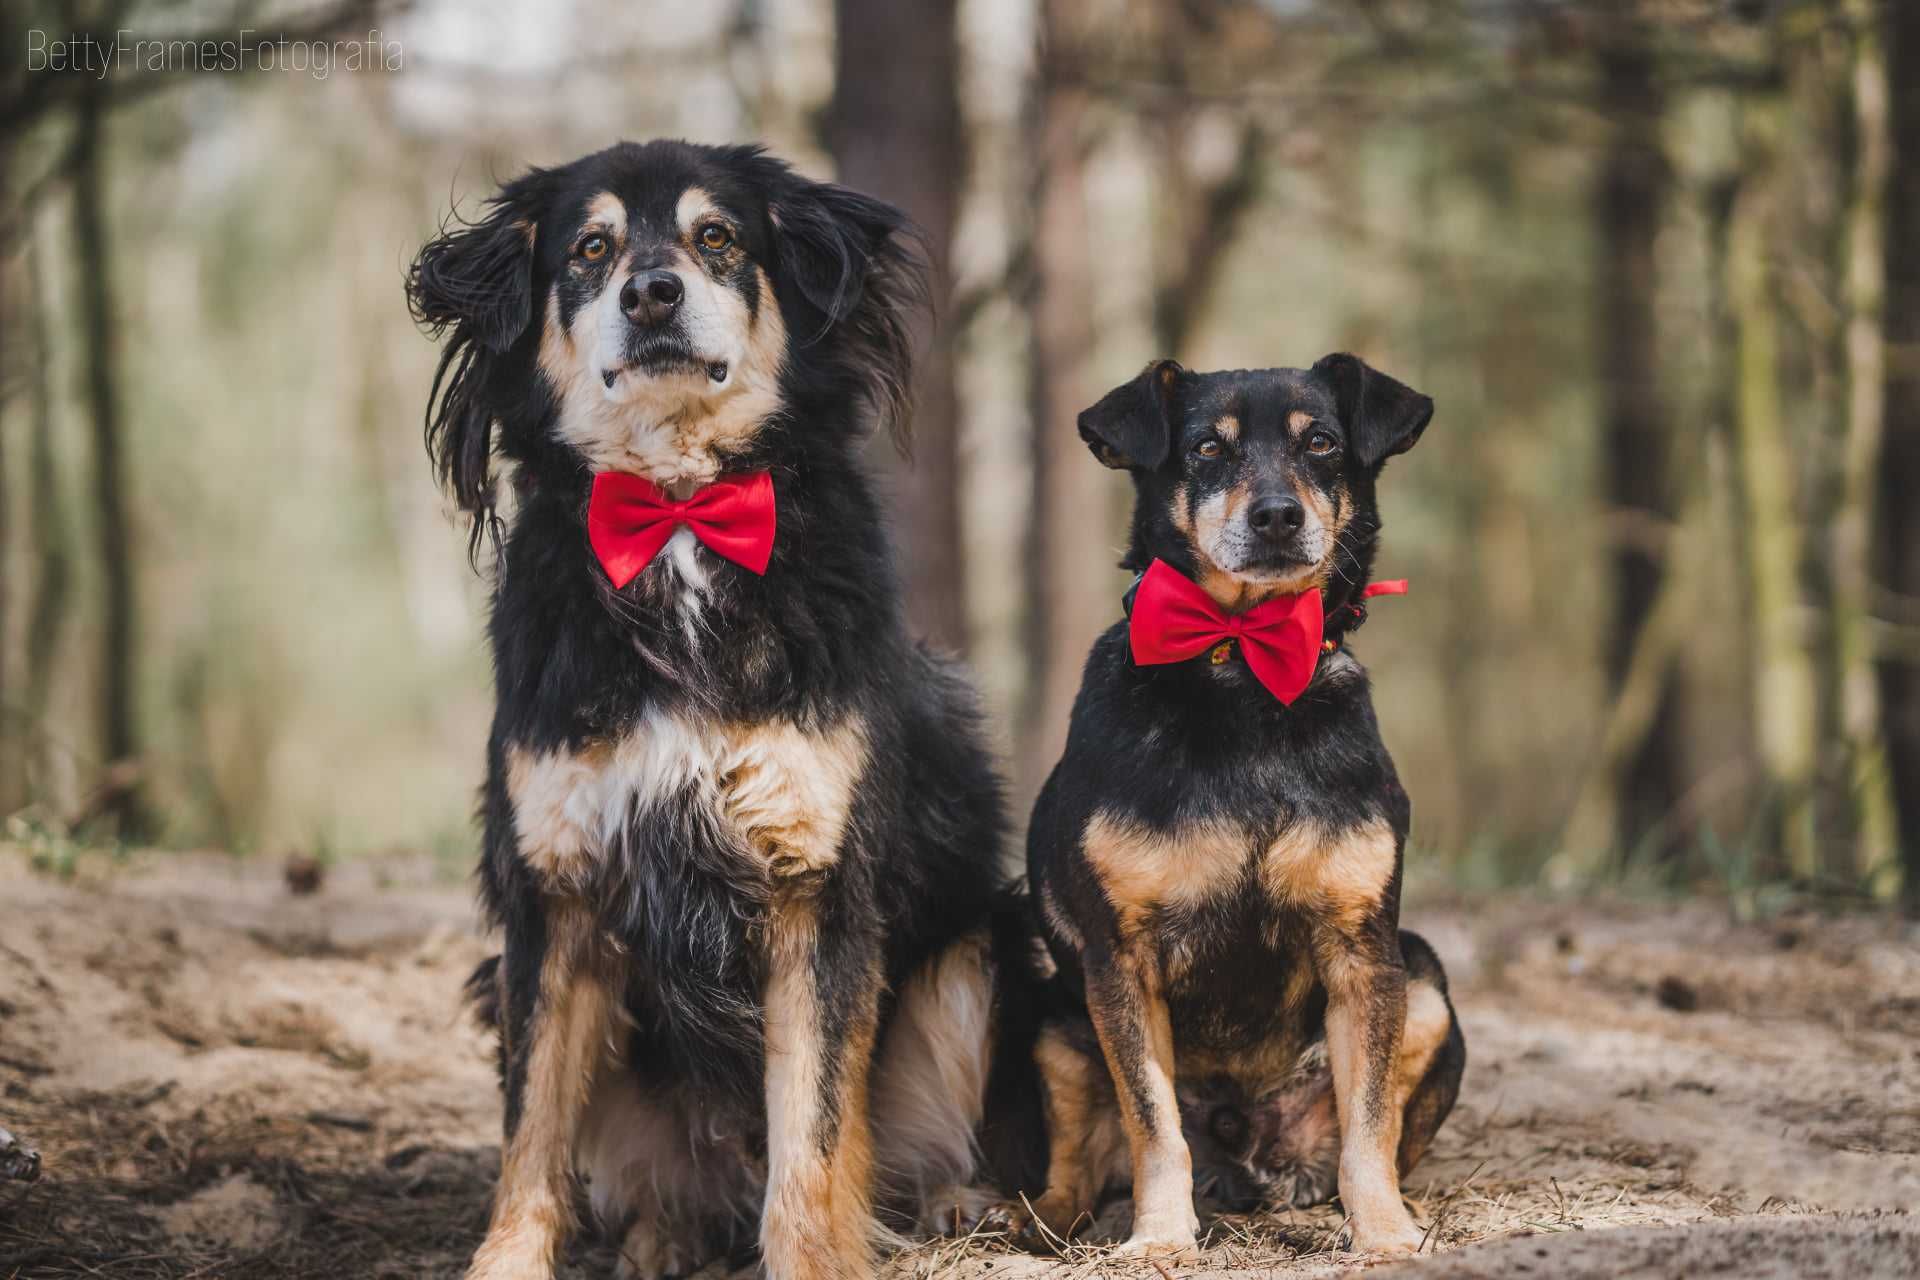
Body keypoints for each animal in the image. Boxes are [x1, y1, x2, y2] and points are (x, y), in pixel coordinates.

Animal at [403, 142, 1006, 1280]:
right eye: (590, 250)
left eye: (717, 237)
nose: (651, 292)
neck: (679, 515)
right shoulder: (556, 891)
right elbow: (531, 1130)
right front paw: (507, 1259)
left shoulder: (815, 882)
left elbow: (813, 1132)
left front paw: (813, 1258)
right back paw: (663, 1232)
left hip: (982, 946)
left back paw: (959, 1201)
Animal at [1021, 355, 1466, 1258]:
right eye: (1205, 448)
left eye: (1321, 442)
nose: (1276, 517)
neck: (1243, 665)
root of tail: (1248, 1159)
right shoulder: (1121, 961)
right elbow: (1154, 1124)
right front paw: (1160, 1238)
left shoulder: (1364, 955)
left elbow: (1370, 1127)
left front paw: (1384, 1234)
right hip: (1052, 1016)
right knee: (1081, 1162)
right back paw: (1037, 1217)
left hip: (1427, 986)